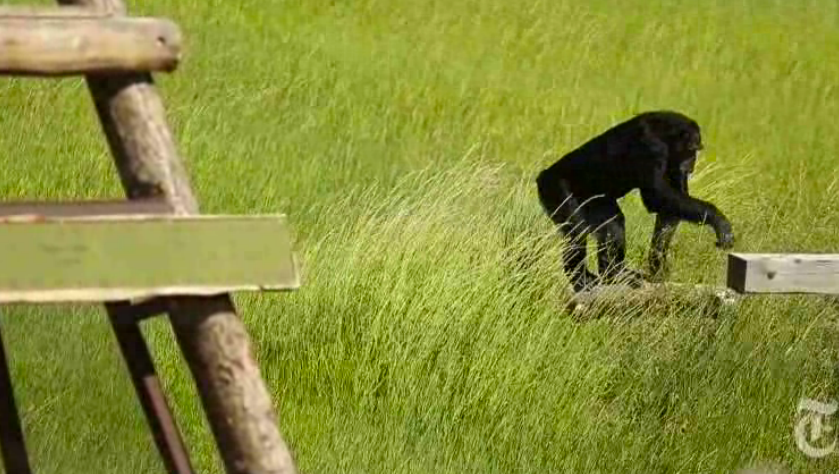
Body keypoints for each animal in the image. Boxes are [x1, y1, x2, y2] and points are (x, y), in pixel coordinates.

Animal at [540, 109, 736, 292]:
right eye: (693, 149)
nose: (692, 162)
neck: (665, 136)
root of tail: (543, 175)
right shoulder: (651, 147)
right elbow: (657, 195)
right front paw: (720, 222)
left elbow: (668, 209)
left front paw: (657, 265)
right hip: (556, 189)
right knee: (577, 232)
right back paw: (584, 278)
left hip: (595, 201)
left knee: (613, 224)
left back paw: (612, 273)